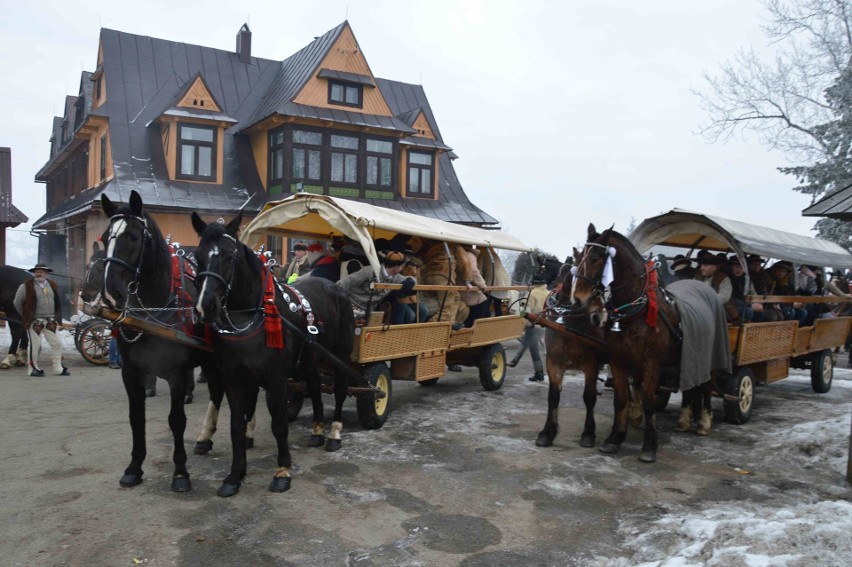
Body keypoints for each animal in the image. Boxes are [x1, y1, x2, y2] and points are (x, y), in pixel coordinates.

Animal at [99, 190, 225, 492]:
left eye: (133, 237)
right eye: (105, 237)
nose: (109, 293)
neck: (152, 312)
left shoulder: (176, 372)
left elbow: (176, 420)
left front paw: (180, 472)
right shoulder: (131, 371)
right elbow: (136, 418)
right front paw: (134, 467)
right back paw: (205, 439)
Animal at [191, 212, 354, 496]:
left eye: (230, 255)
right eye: (197, 255)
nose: (206, 306)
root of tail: (335, 287)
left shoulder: (276, 379)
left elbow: (279, 424)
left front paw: (282, 471)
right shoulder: (234, 379)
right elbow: (236, 425)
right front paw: (234, 475)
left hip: (341, 355)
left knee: (341, 390)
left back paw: (334, 434)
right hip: (310, 359)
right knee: (315, 389)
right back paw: (317, 431)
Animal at [568, 224, 728, 464]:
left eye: (596, 257)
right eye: (578, 259)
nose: (577, 299)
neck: (636, 311)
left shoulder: (651, 361)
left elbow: (650, 401)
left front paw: (649, 446)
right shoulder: (618, 359)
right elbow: (621, 399)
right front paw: (615, 438)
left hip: (707, 357)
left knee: (707, 385)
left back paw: (704, 422)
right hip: (686, 357)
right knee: (690, 388)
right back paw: (684, 419)